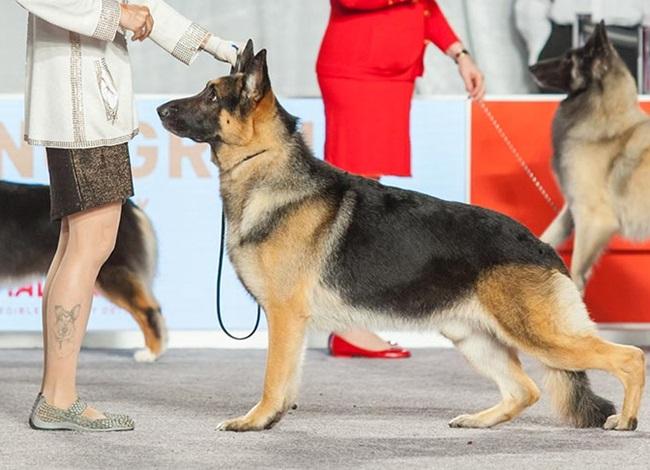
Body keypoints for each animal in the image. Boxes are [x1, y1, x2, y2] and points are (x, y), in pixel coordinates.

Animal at [528, 23, 648, 294]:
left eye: (568, 59)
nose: (531, 68)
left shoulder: (593, 220)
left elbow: (575, 272)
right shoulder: (572, 212)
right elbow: (545, 238)